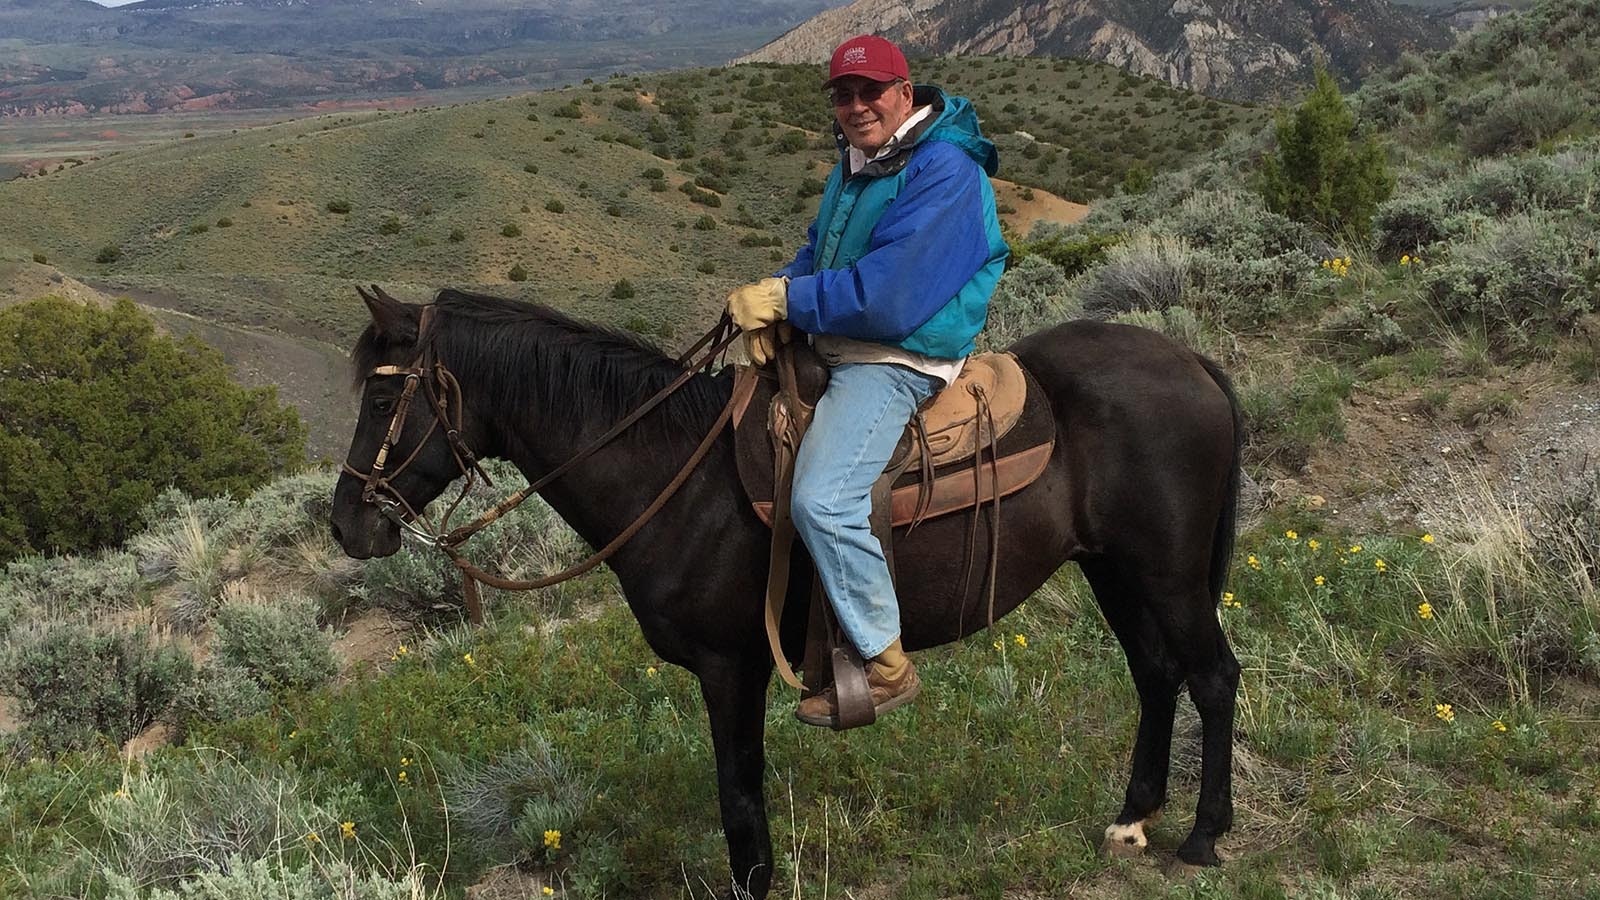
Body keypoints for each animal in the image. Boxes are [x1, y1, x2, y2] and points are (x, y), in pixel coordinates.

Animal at [331, 285, 1241, 890]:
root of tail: (1191, 358)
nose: (346, 526)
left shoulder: (729, 667)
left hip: (1166, 575)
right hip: (1114, 570)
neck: (675, 473)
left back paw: (1203, 835)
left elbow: (739, 801)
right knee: (1156, 674)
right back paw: (1132, 818)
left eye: (381, 395)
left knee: (1213, 676)